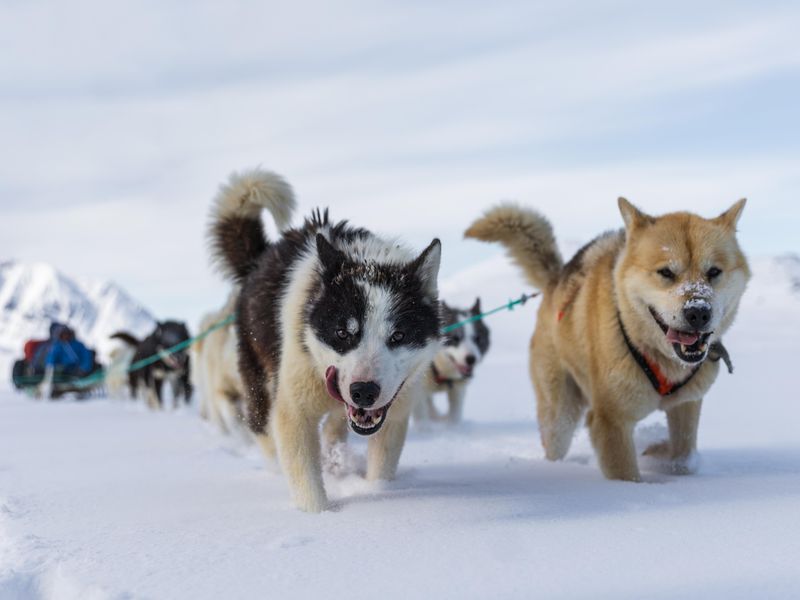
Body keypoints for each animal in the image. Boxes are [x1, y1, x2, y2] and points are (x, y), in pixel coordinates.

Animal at [209, 168, 440, 510]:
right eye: (342, 332)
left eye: (398, 335)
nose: (363, 392)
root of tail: (260, 260)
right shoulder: (294, 411)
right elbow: (306, 482)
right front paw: (320, 516)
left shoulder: (395, 412)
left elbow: (381, 467)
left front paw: (379, 492)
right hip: (258, 385)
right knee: (263, 430)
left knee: (334, 427)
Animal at [468, 199, 752, 480]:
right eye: (666, 272)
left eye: (713, 272)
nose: (698, 312)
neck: (655, 353)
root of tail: (556, 280)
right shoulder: (610, 421)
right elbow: (626, 475)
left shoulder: (686, 404)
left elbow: (684, 458)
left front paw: (658, 451)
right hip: (560, 416)